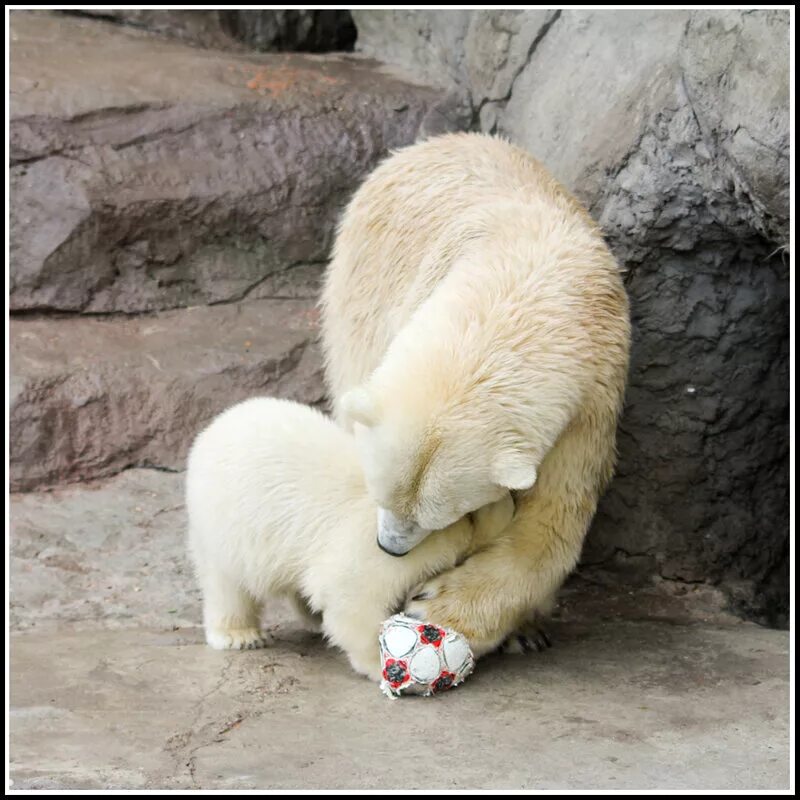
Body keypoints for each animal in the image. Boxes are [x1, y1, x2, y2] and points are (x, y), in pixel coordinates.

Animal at [185, 396, 516, 680]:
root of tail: (212, 429)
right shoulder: (376, 550)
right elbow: (353, 597)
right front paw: (379, 663)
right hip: (221, 524)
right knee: (227, 584)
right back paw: (239, 635)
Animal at [320, 131, 632, 656]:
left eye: (438, 515)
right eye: (380, 492)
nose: (389, 546)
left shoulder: (591, 395)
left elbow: (554, 518)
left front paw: (439, 608)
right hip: (360, 283)